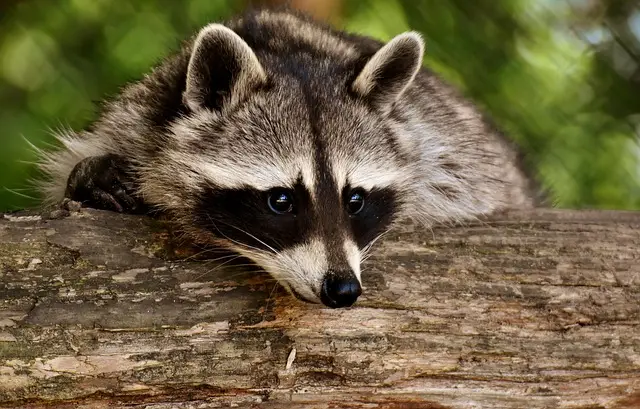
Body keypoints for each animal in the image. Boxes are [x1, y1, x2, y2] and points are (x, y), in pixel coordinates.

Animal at [37, 8, 537, 308]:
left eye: (355, 200)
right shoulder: (135, 117)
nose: (342, 289)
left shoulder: (444, 146)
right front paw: (94, 177)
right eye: (281, 201)